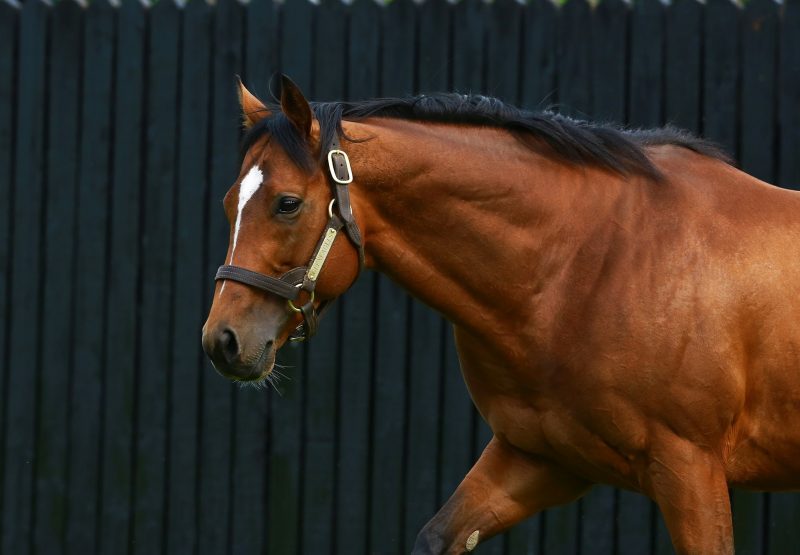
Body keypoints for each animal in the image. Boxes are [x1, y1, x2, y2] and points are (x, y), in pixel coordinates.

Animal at [202, 75, 800, 555]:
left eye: (287, 203)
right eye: (230, 203)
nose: (222, 341)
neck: (585, 266)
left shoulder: (689, 469)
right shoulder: (538, 458)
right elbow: (437, 537)